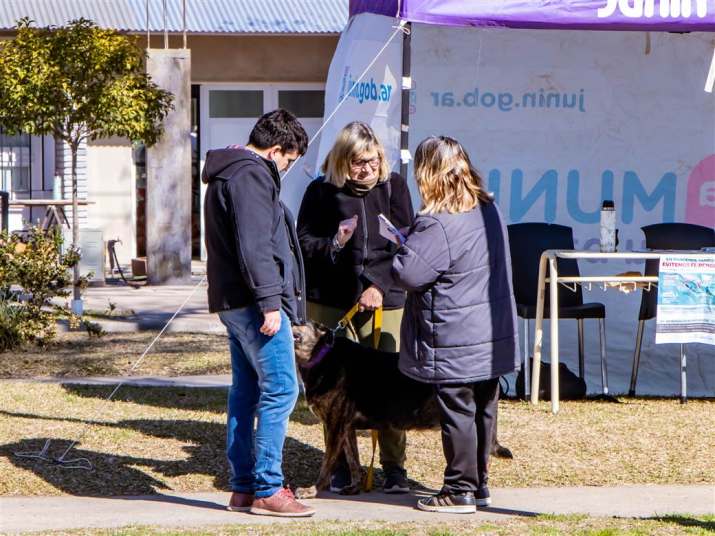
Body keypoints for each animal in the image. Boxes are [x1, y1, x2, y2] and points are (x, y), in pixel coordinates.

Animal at [294, 322, 512, 494]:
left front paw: (312, 491)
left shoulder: (335, 426)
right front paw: (354, 487)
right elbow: (353, 461)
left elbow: (326, 464)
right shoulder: (346, 428)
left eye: (300, 322)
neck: (322, 355)